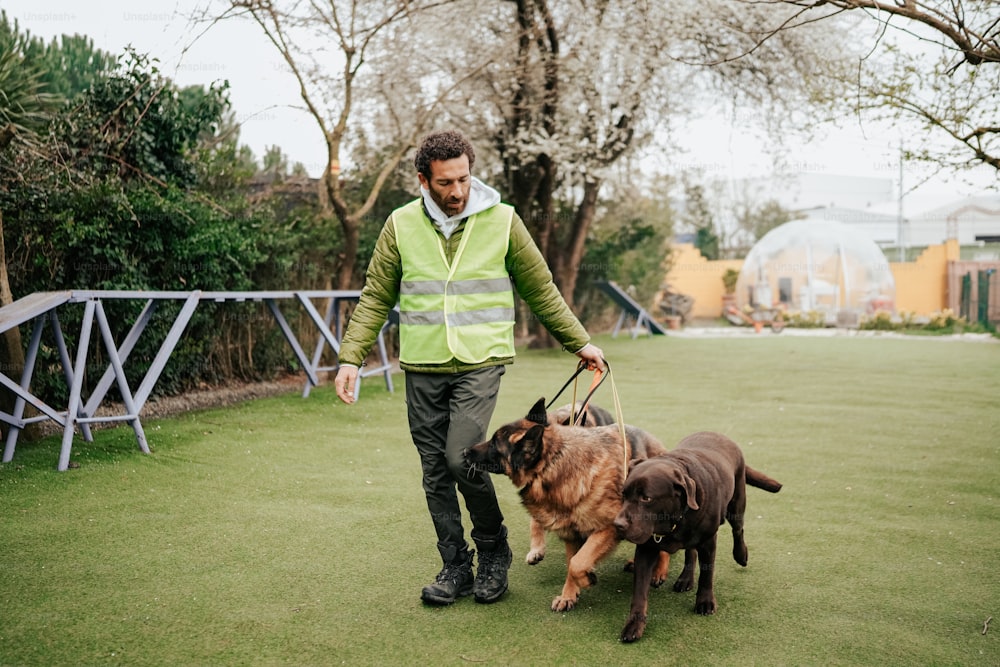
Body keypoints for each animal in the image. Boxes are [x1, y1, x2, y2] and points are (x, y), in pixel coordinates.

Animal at [464, 400, 668, 612]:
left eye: (494, 444)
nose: (464, 452)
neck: (553, 465)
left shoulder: (608, 528)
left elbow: (578, 562)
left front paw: (586, 579)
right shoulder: (571, 534)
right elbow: (572, 563)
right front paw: (568, 595)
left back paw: (659, 571)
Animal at [608, 430, 780, 644]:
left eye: (646, 498)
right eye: (623, 494)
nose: (618, 525)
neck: (674, 520)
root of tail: (717, 433)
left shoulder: (708, 542)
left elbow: (707, 574)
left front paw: (705, 602)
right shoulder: (646, 548)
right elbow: (639, 592)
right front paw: (634, 624)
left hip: (737, 503)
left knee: (738, 530)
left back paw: (741, 555)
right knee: (691, 552)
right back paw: (685, 579)